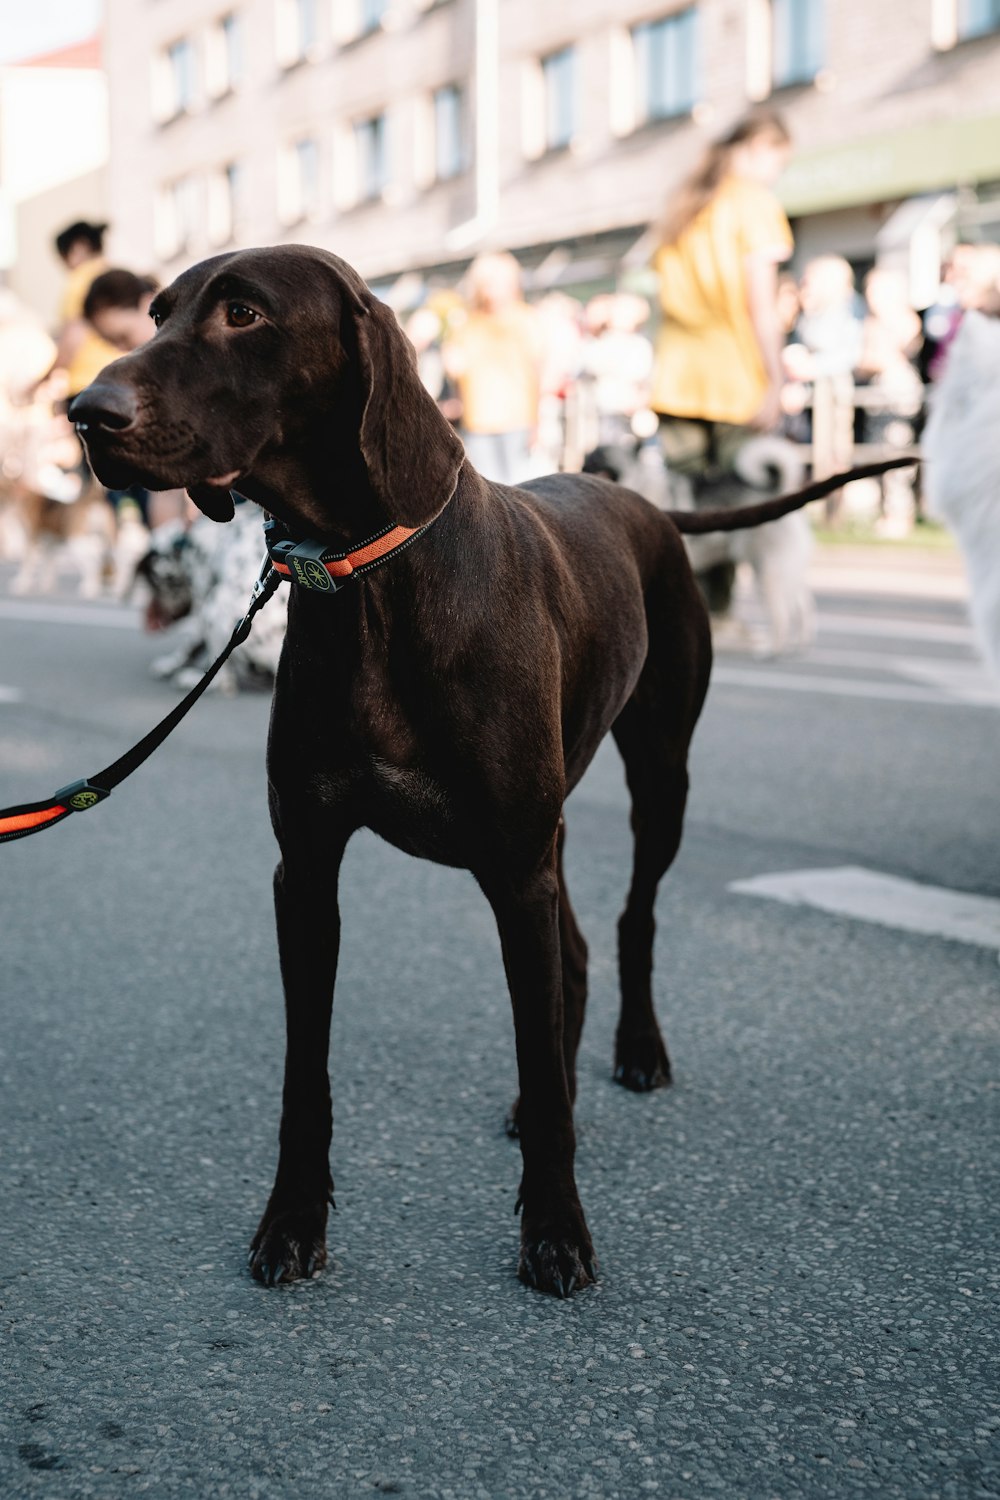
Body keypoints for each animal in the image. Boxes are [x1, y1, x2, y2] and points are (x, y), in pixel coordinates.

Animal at [134, 501, 287, 693]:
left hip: (214, 606)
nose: (153, 616)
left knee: (223, 681)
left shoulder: (201, 603)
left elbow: (190, 646)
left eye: (153, 583)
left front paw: (173, 664)